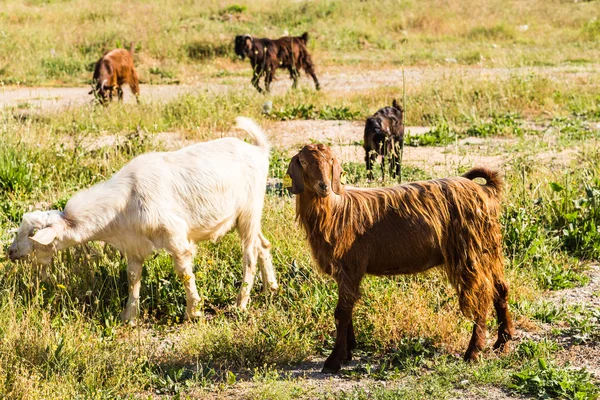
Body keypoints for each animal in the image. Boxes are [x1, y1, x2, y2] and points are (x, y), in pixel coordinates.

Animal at [7, 117, 278, 324]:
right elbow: (133, 278)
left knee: (249, 255)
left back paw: (241, 304)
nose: (10, 252)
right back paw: (271, 288)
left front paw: (193, 312)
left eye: (32, 233)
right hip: (245, 216)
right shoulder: (133, 246)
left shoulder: (176, 237)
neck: (126, 201)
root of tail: (259, 150)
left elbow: (184, 274)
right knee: (263, 245)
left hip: (249, 210)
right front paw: (129, 316)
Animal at [286, 143, 516, 372]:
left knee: (482, 294)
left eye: (331, 161)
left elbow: (341, 312)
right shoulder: (346, 272)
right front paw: (348, 351)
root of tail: (485, 190)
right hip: (488, 249)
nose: (324, 186)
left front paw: (334, 360)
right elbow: (346, 310)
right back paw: (502, 342)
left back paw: (474, 352)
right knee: (500, 288)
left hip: (470, 251)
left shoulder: (350, 266)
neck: (336, 211)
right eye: (303, 162)